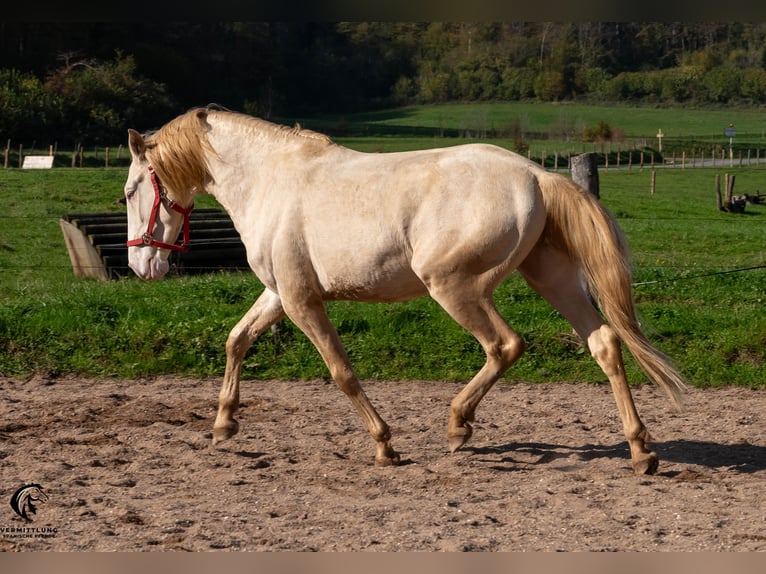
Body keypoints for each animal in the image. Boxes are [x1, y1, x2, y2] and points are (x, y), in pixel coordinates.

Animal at [123, 108, 688, 476]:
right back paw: (641, 451)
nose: (140, 265)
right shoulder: (279, 294)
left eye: (131, 190)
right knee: (604, 343)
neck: (271, 180)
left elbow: (341, 372)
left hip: (454, 287)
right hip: (549, 277)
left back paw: (459, 426)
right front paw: (223, 425)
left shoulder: (303, 301)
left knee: (504, 346)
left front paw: (385, 447)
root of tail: (534, 174)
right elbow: (237, 340)